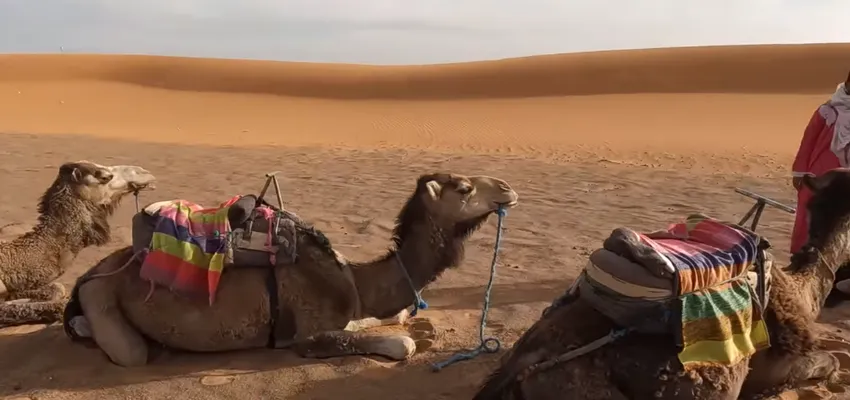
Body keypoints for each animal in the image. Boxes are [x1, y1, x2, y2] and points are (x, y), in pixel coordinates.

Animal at [63, 173, 518, 367]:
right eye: (464, 187)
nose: (509, 189)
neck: (353, 278)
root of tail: (89, 274)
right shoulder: (306, 334)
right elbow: (400, 344)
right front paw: (408, 338)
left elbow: (379, 318)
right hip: (101, 299)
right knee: (129, 350)